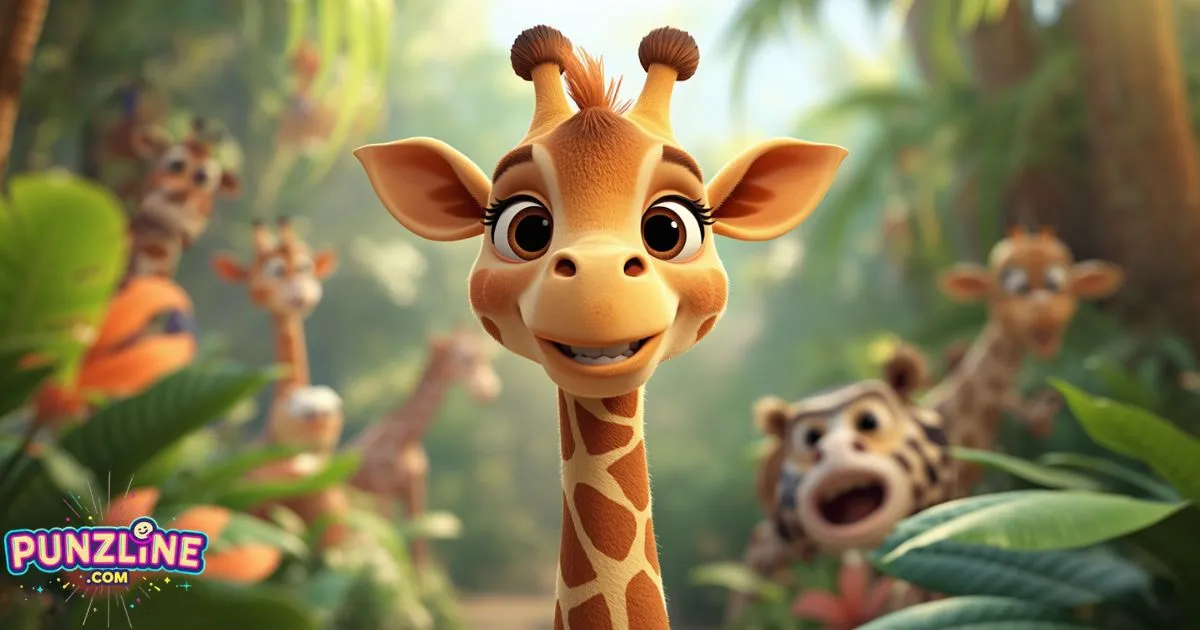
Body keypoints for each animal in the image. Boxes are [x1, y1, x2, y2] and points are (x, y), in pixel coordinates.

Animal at [347, 327, 501, 570]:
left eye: (486, 357)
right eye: (466, 359)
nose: (488, 391)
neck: (406, 440)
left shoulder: (416, 488)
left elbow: (419, 554)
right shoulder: (385, 492)